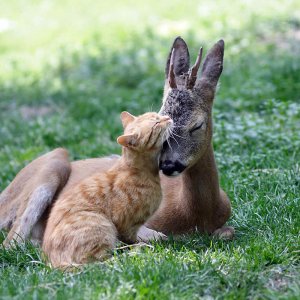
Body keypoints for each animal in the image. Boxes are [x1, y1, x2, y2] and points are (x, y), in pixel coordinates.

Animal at [0, 36, 233, 246]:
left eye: (197, 125)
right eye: (161, 118)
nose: (168, 164)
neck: (194, 214)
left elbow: (227, 232)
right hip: (52, 164)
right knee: (13, 241)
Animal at [43, 112, 172, 268]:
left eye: (157, 115)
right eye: (156, 123)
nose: (168, 117)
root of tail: (54, 263)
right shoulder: (126, 224)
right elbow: (131, 238)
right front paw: (141, 244)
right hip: (101, 224)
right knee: (102, 261)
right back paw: (136, 251)